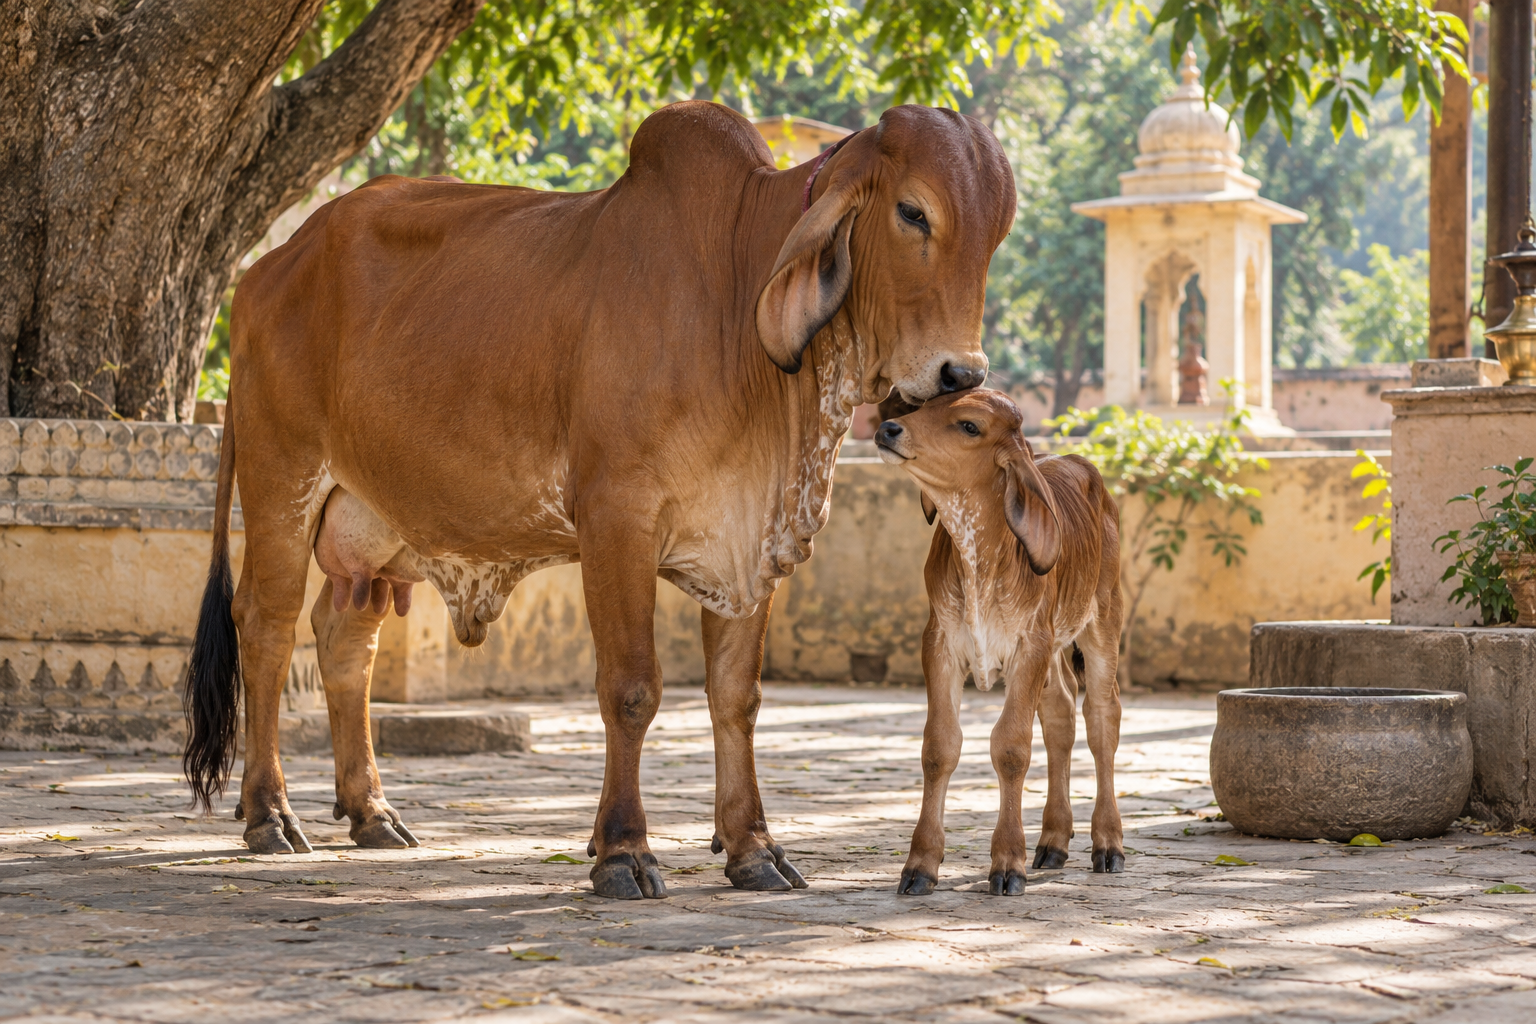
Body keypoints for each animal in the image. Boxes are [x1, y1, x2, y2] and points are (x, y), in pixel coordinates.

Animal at [183, 101, 1016, 900]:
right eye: (913, 212)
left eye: (998, 231)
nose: (960, 374)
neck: (733, 290)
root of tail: (263, 272)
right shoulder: (618, 517)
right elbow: (631, 689)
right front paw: (622, 851)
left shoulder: (749, 539)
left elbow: (736, 698)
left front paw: (753, 850)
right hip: (282, 477)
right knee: (267, 626)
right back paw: (270, 814)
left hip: (376, 524)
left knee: (344, 639)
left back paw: (371, 812)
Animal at [873, 389, 1124, 895]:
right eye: (926, 406)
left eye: (969, 425)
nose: (889, 428)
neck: (979, 556)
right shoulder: (941, 643)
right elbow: (939, 747)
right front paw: (921, 864)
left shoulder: (1030, 646)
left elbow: (1010, 747)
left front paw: (1008, 862)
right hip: (1054, 648)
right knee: (1061, 714)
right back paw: (1053, 840)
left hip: (1103, 621)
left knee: (1102, 718)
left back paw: (1108, 843)